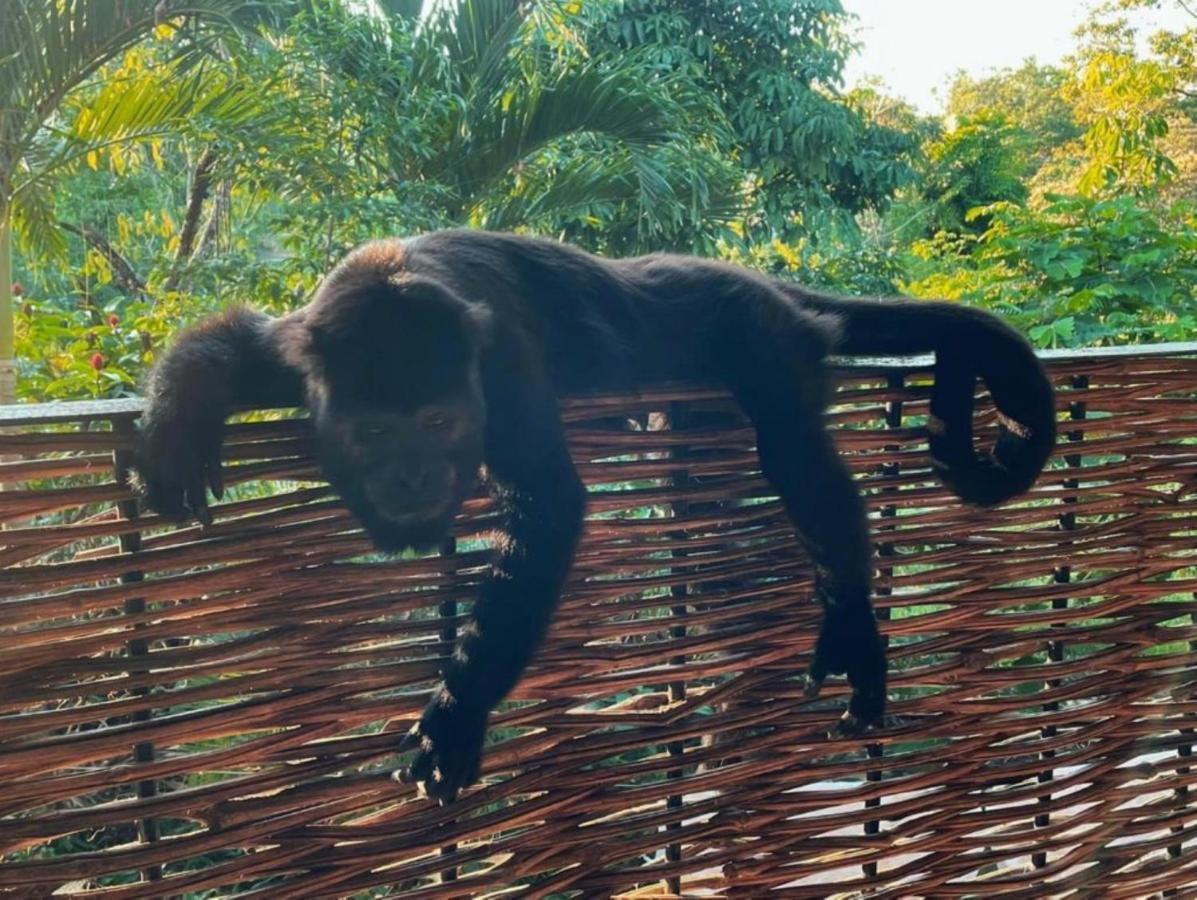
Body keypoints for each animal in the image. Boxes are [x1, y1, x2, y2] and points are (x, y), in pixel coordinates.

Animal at [137, 228, 1058, 804]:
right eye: (370, 434)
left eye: (438, 422)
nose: (409, 478)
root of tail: (758, 280)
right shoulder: (306, 343)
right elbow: (234, 336)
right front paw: (178, 422)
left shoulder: (501, 368)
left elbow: (550, 507)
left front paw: (459, 708)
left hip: (759, 331)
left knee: (794, 453)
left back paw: (852, 625)